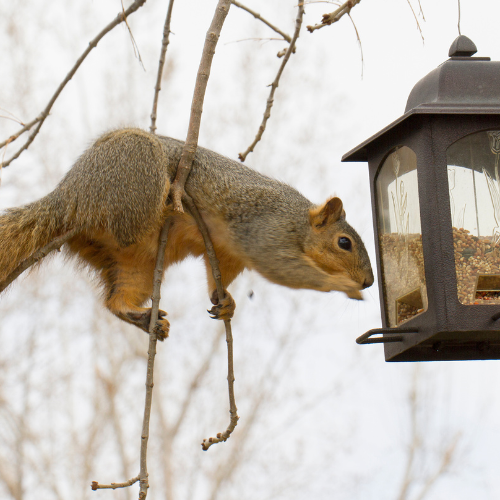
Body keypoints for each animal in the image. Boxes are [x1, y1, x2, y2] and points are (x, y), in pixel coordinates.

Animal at [0, 129, 372, 338]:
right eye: (344, 243)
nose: (369, 281)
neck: (298, 221)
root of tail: (68, 197)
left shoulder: (228, 251)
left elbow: (217, 275)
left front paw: (227, 302)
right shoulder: (265, 230)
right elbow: (283, 268)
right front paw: (343, 285)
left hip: (134, 266)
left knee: (116, 299)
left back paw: (139, 316)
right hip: (135, 165)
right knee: (128, 224)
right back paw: (169, 200)